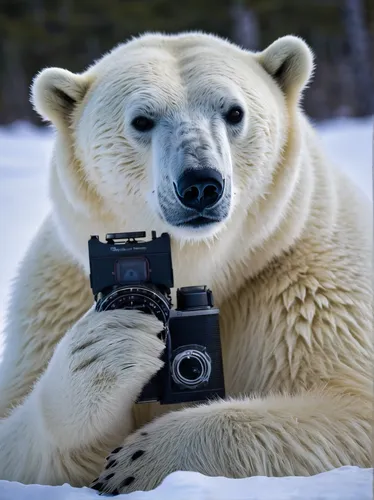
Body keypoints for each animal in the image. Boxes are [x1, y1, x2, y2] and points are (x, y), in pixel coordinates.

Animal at [0, 32, 372, 496]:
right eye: (142, 120)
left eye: (234, 112)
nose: (200, 184)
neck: (200, 261)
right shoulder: (55, 295)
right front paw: (106, 351)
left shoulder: (306, 282)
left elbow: (349, 408)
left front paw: (137, 460)